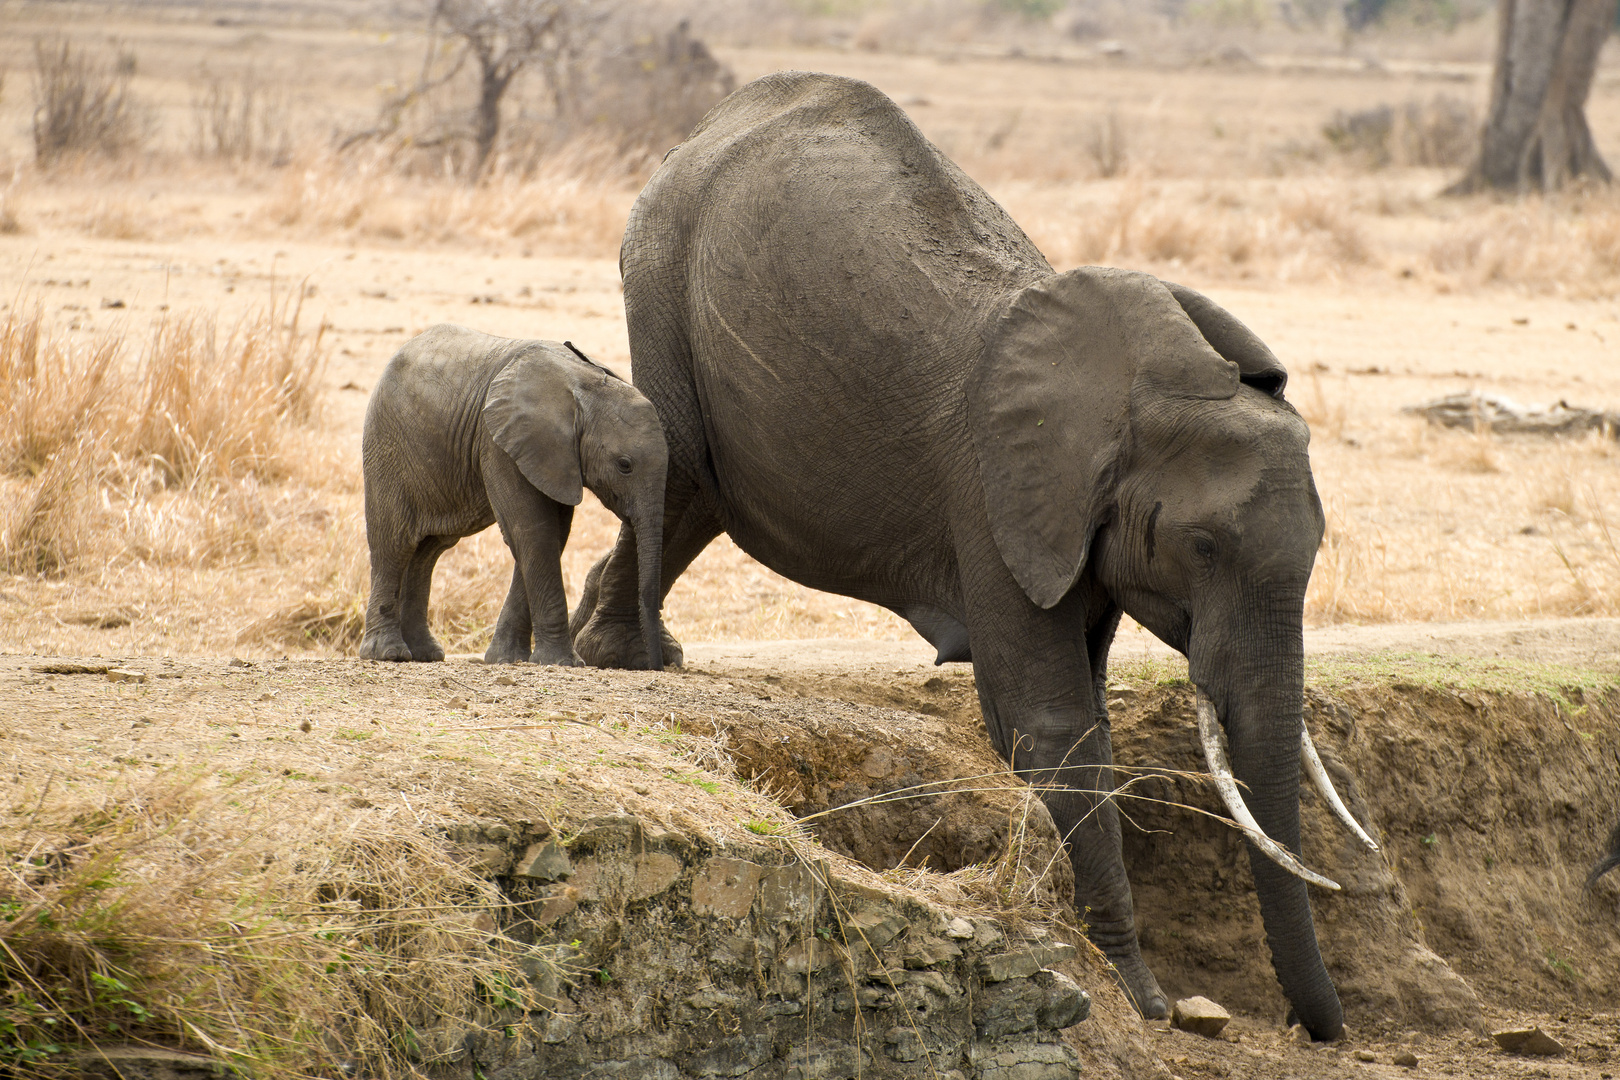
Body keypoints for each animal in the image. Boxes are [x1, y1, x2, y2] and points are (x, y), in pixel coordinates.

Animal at [364, 325, 667, 670]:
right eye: (624, 465)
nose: (656, 665)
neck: (585, 388)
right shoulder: (500, 443)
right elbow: (533, 531)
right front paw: (563, 663)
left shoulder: (554, 456)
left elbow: (551, 535)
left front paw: (506, 659)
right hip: (387, 445)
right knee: (394, 543)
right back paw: (389, 654)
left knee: (428, 551)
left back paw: (425, 654)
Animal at [576, 71, 1373, 1042]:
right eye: (1204, 546)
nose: (1324, 1030)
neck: (1139, 389)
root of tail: (709, 127)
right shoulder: (995, 494)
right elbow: (1055, 726)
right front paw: (1137, 998)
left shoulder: (1069, 522)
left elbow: (1082, 705)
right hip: (660, 277)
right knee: (682, 468)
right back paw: (619, 657)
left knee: (694, 497)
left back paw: (612, 647)